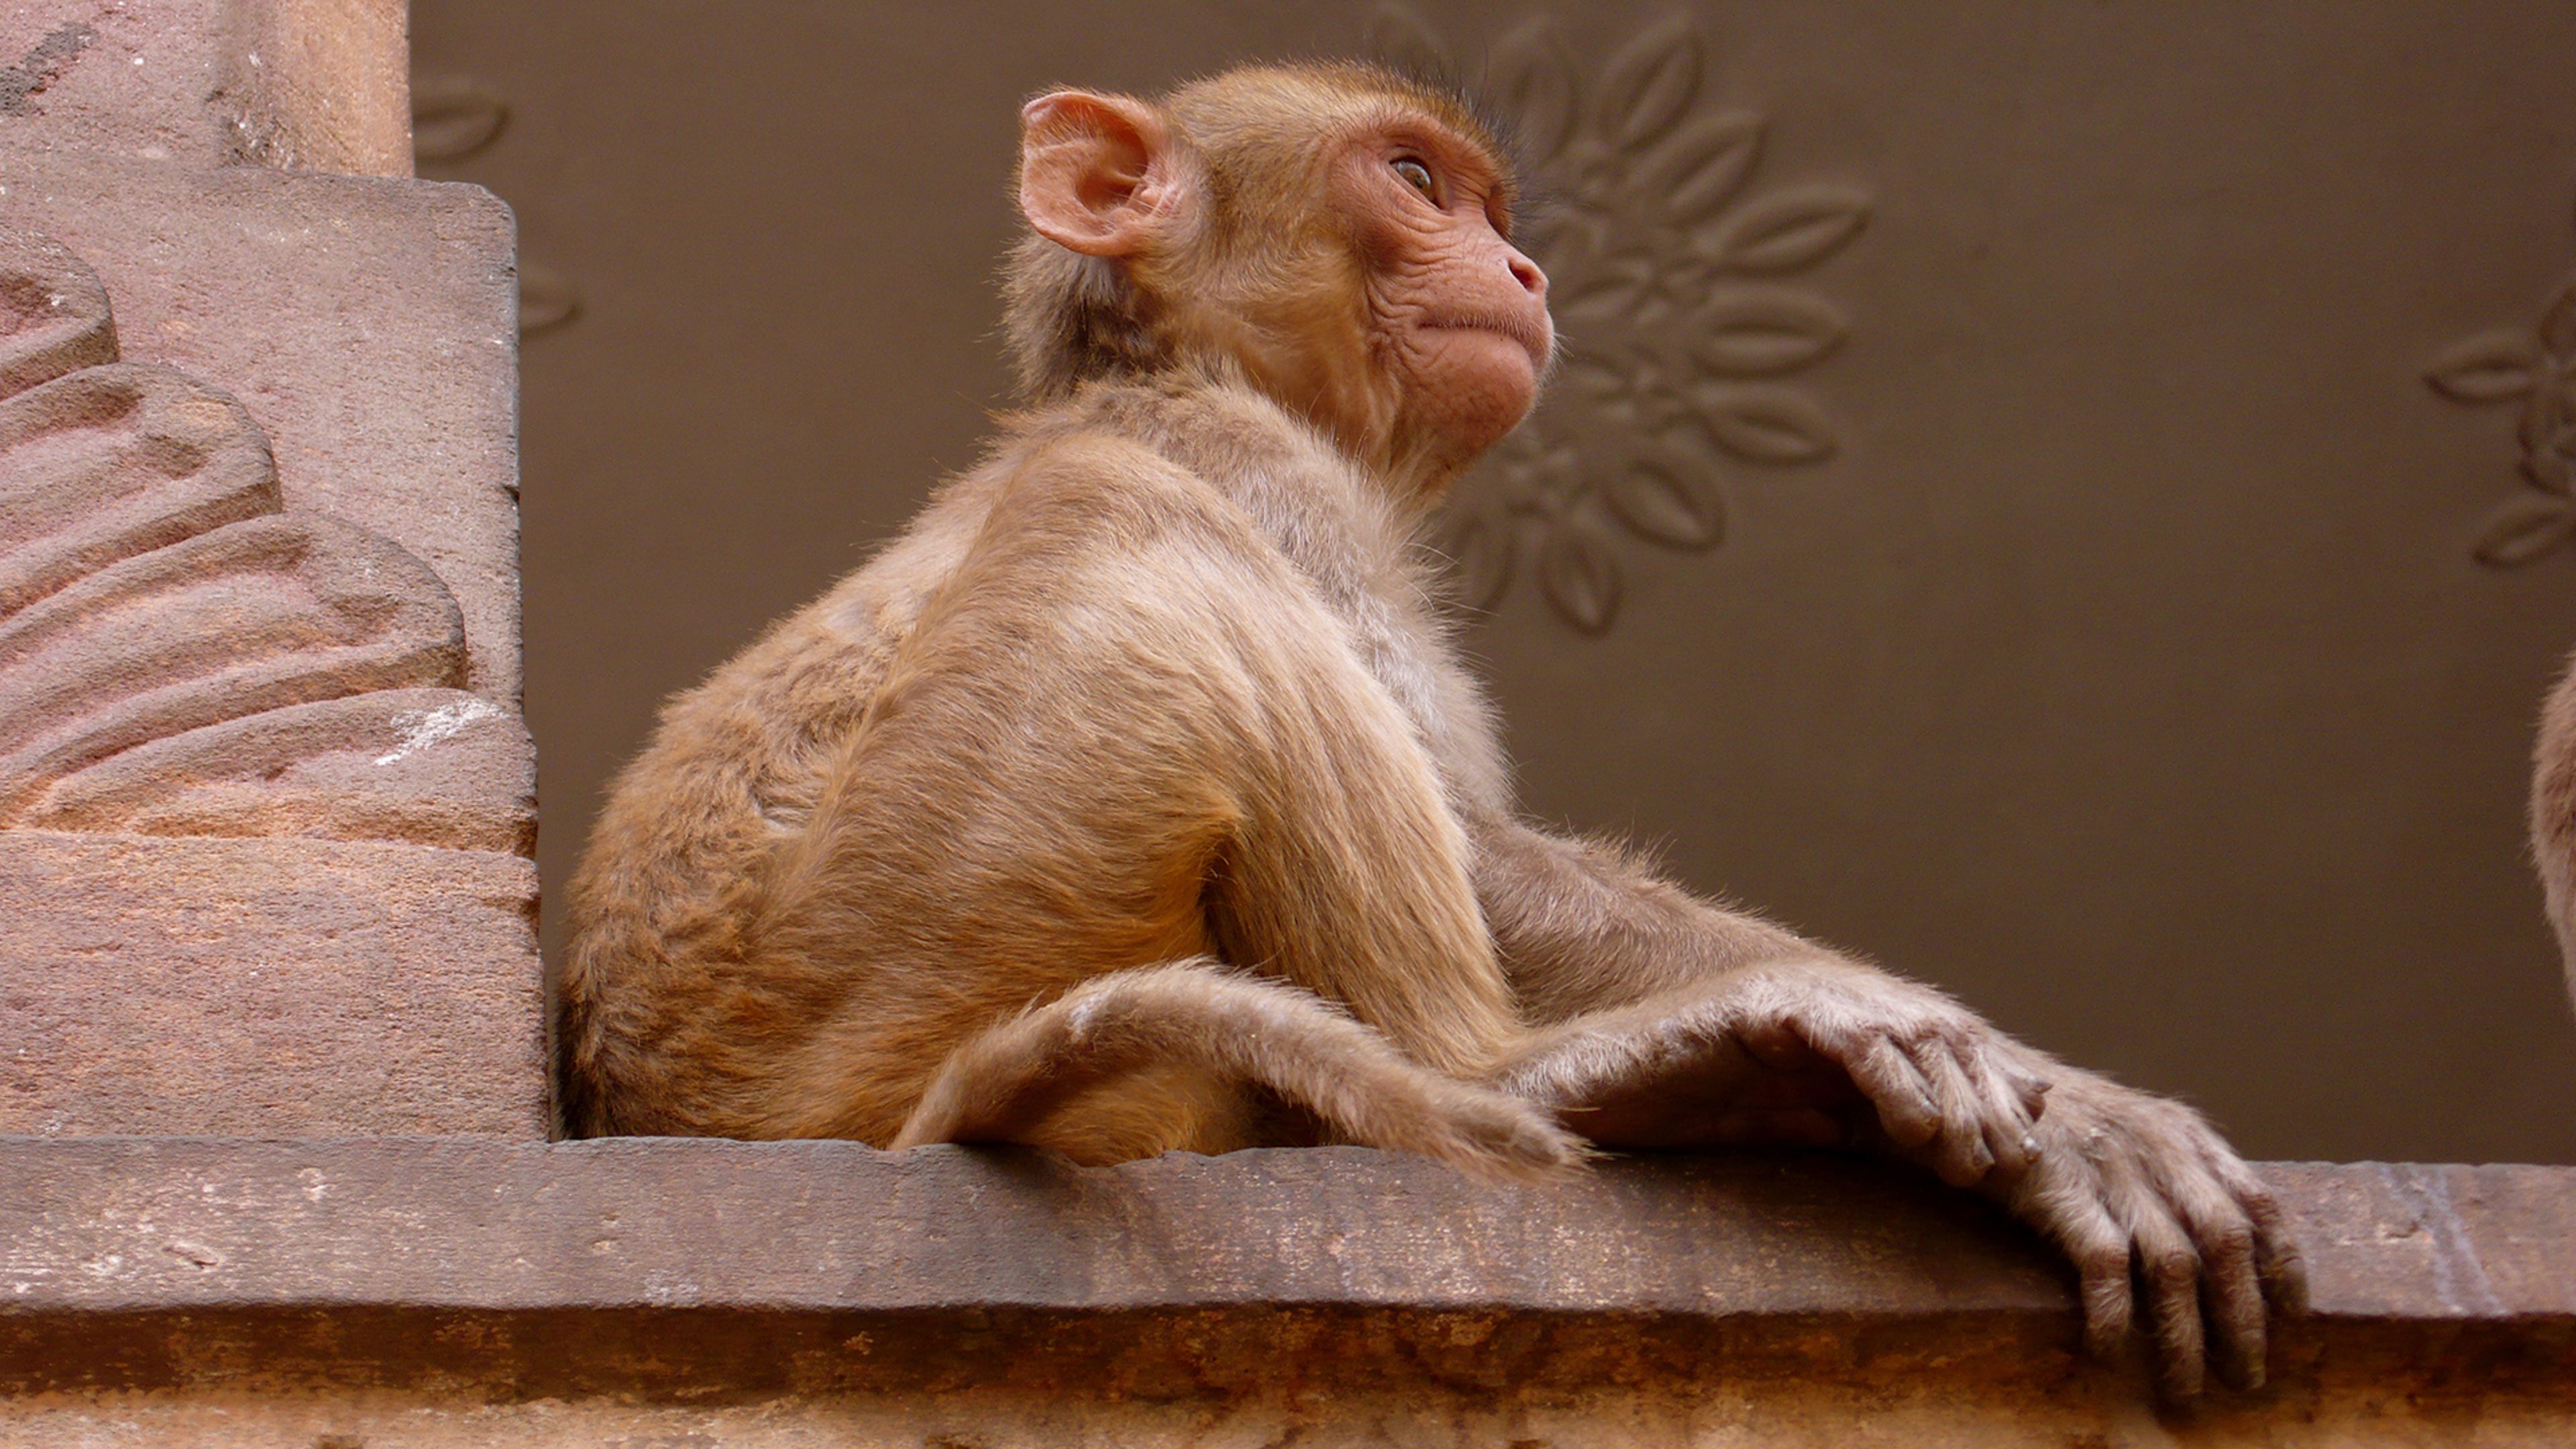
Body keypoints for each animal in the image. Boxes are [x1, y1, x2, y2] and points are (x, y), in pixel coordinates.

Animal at [557, 62, 2303, 1399]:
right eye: (1412, 180)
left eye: (1491, 211)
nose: (1524, 276)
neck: (1195, 369)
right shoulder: (1259, 470)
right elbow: (1469, 842)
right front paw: (2071, 1105)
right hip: (883, 957)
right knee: (1117, 511)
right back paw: (1579, 1076)